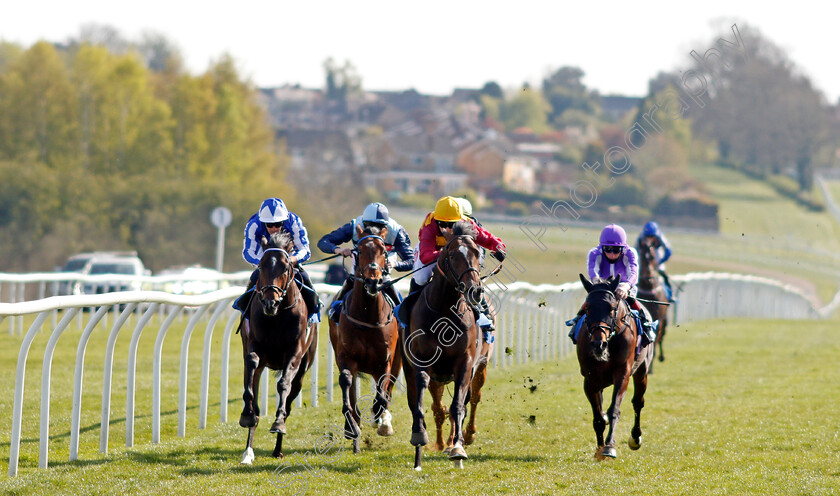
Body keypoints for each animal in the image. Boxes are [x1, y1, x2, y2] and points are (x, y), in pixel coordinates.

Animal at [240, 232, 318, 464]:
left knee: (290, 401)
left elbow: (283, 384)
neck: (278, 316)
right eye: (261, 266)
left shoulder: (294, 354)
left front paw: (278, 423)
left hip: (303, 371)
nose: (269, 303)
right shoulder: (254, 347)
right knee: (255, 398)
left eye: (285, 267)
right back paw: (248, 451)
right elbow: (251, 372)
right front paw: (247, 415)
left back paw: (278, 448)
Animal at [328, 224, 404, 454]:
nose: (372, 281)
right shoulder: (346, 357)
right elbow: (346, 384)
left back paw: (383, 421)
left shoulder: (385, 360)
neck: (367, 315)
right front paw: (351, 426)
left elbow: (382, 393)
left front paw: (381, 420)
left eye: (384, 251)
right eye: (359, 251)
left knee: (388, 388)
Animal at [402, 223, 482, 470]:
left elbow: (457, 406)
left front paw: (457, 449)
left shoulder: (465, 363)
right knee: (414, 400)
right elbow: (418, 402)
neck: (445, 310)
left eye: (478, 253)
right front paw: (419, 435)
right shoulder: (421, 360)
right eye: (453, 255)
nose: (475, 290)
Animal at [580, 274, 652, 460]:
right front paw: (599, 450)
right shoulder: (589, 379)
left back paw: (635, 438)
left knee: (638, 402)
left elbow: (614, 409)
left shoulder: (623, 373)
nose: (598, 344)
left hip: (642, 370)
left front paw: (609, 447)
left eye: (612, 308)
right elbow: (598, 417)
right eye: (588, 308)